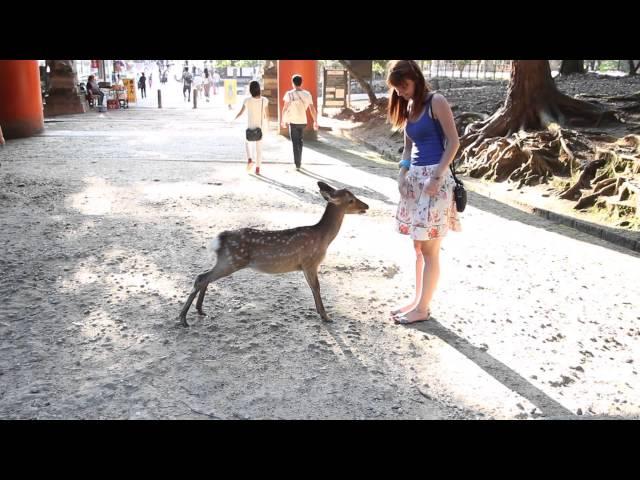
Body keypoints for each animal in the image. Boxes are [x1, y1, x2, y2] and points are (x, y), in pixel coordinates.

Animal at [179, 181, 370, 326]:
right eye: (351, 200)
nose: (367, 206)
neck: (323, 238)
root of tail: (220, 239)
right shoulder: (310, 261)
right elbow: (316, 287)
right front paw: (326, 316)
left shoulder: (306, 265)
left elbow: (313, 287)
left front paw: (321, 313)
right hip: (231, 261)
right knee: (201, 278)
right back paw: (182, 318)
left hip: (226, 261)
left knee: (204, 277)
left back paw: (200, 310)